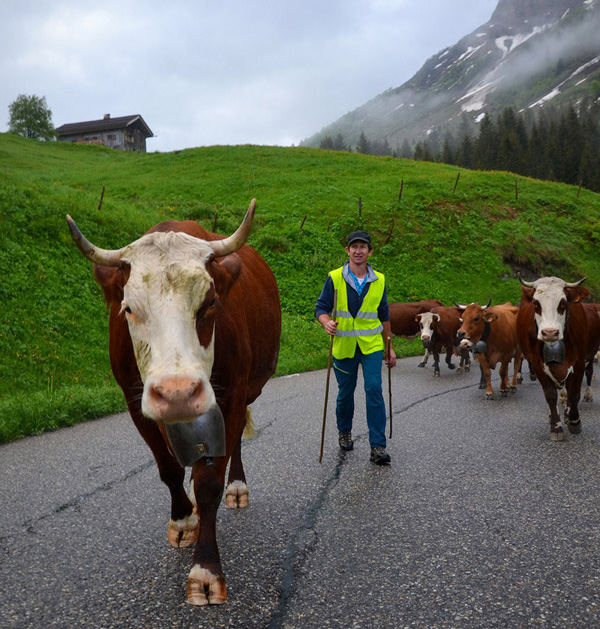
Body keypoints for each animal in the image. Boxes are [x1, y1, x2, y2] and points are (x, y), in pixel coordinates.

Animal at [65, 200, 282, 604]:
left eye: (210, 303)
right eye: (128, 308)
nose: (178, 391)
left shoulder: (230, 395)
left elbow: (210, 481)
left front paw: (206, 570)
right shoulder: (137, 402)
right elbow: (168, 468)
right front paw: (183, 519)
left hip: (249, 388)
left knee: (234, 444)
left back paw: (237, 487)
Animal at [512, 274, 588, 442]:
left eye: (563, 303)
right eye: (536, 303)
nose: (550, 333)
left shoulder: (579, 361)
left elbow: (574, 393)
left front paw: (574, 421)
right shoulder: (537, 364)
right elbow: (550, 395)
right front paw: (556, 427)